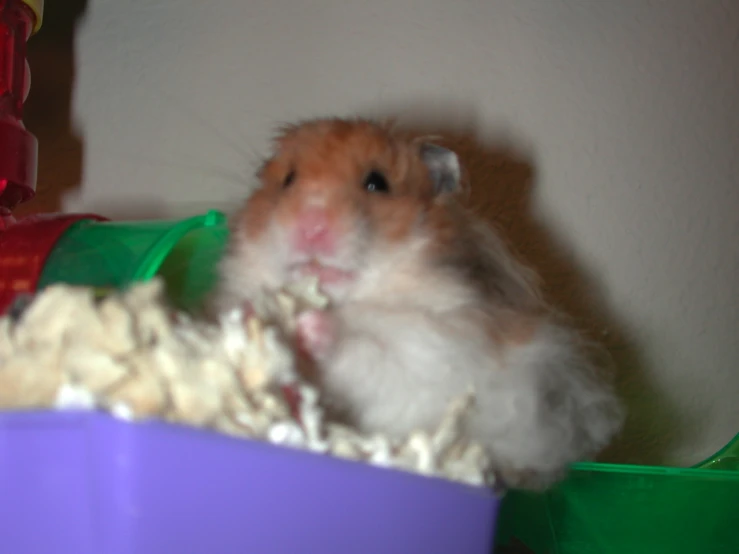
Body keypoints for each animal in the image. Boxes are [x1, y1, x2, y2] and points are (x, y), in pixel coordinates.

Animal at [210, 117, 624, 488]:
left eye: (377, 183)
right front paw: (254, 326)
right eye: (288, 180)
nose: (310, 226)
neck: (351, 299)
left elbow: (367, 354)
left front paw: (308, 325)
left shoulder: (432, 354)